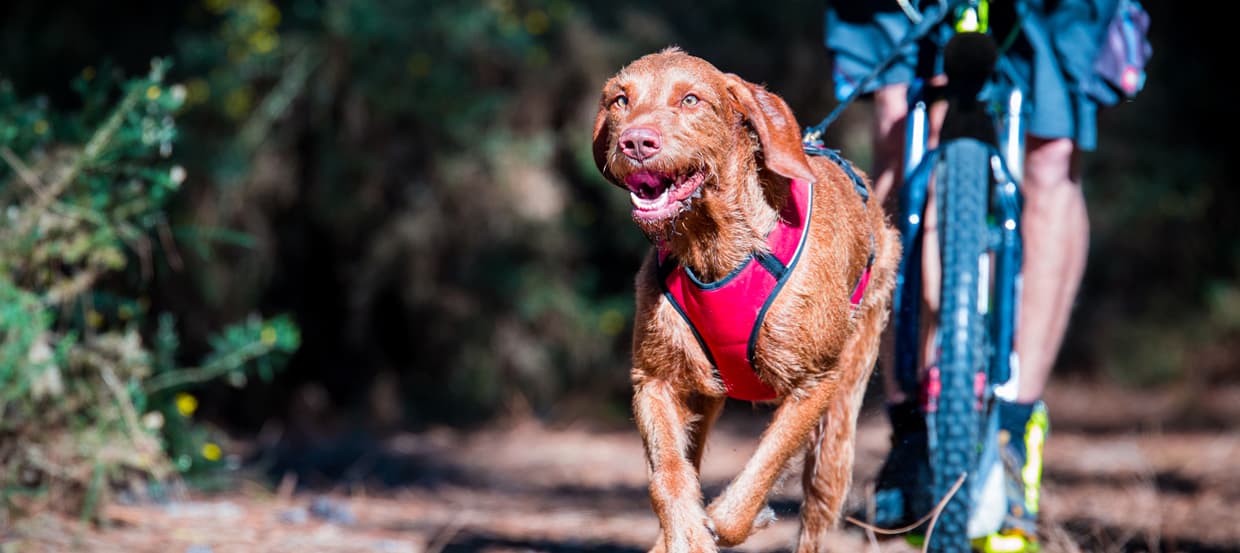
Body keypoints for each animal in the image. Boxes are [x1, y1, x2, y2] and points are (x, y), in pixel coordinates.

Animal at [592, 48, 902, 553]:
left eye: (691, 99)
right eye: (621, 99)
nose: (637, 141)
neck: (715, 244)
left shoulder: (817, 381)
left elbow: (762, 470)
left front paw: (727, 521)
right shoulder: (656, 379)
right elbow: (668, 477)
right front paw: (686, 534)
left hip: (843, 408)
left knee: (820, 498)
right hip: (703, 396)